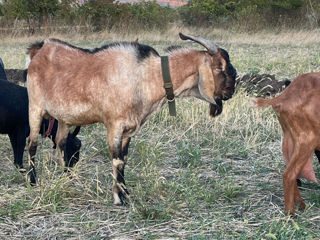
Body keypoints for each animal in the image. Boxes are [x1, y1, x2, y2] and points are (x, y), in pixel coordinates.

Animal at [27, 32, 236, 204]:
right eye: (220, 67)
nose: (231, 91)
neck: (144, 76)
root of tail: (40, 49)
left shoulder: (129, 130)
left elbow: (124, 160)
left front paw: (126, 193)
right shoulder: (114, 125)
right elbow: (117, 160)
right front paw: (118, 198)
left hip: (64, 119)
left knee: (61, 143)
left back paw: (69, 180)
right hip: (35, 108)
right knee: (32, 144)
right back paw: (32, 180)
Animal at [254, 72, 318, 215]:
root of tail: (282, 97)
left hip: (290, 138)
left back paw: (301, 205)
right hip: (306, 140)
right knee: (289, 175)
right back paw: (290, 213)